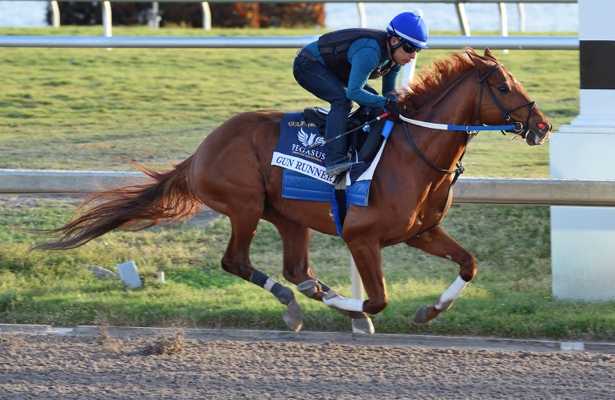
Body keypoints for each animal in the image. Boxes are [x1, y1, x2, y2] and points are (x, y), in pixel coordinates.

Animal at [32, 47, 552, 334]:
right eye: (504, 85)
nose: (542, 126)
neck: (412, 151)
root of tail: (198, 153)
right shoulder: (361, 237)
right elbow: (377, 298)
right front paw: (352, 308)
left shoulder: (420, 231)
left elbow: (469, 263)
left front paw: (429, 310)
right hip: (243, 205)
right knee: (237, 262)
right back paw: (296, 303)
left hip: (287, 215)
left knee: (296, 267)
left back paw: (306, 293)